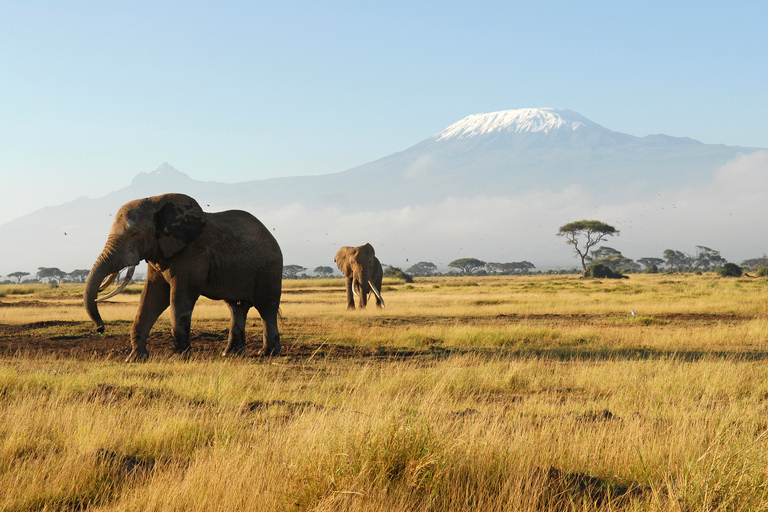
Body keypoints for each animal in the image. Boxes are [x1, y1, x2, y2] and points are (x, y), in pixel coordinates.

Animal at [85, 194, 282, 362]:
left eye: (134, 235)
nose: (100, 328)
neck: (155, 203)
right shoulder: (159, 253)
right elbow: (152, 297)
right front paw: (134, 359)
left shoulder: (192, 254)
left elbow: (179, 298)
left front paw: (177, 358)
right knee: (236, 308)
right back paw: (230, 354)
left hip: (269, 269)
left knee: (267, 309)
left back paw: (267, 353)